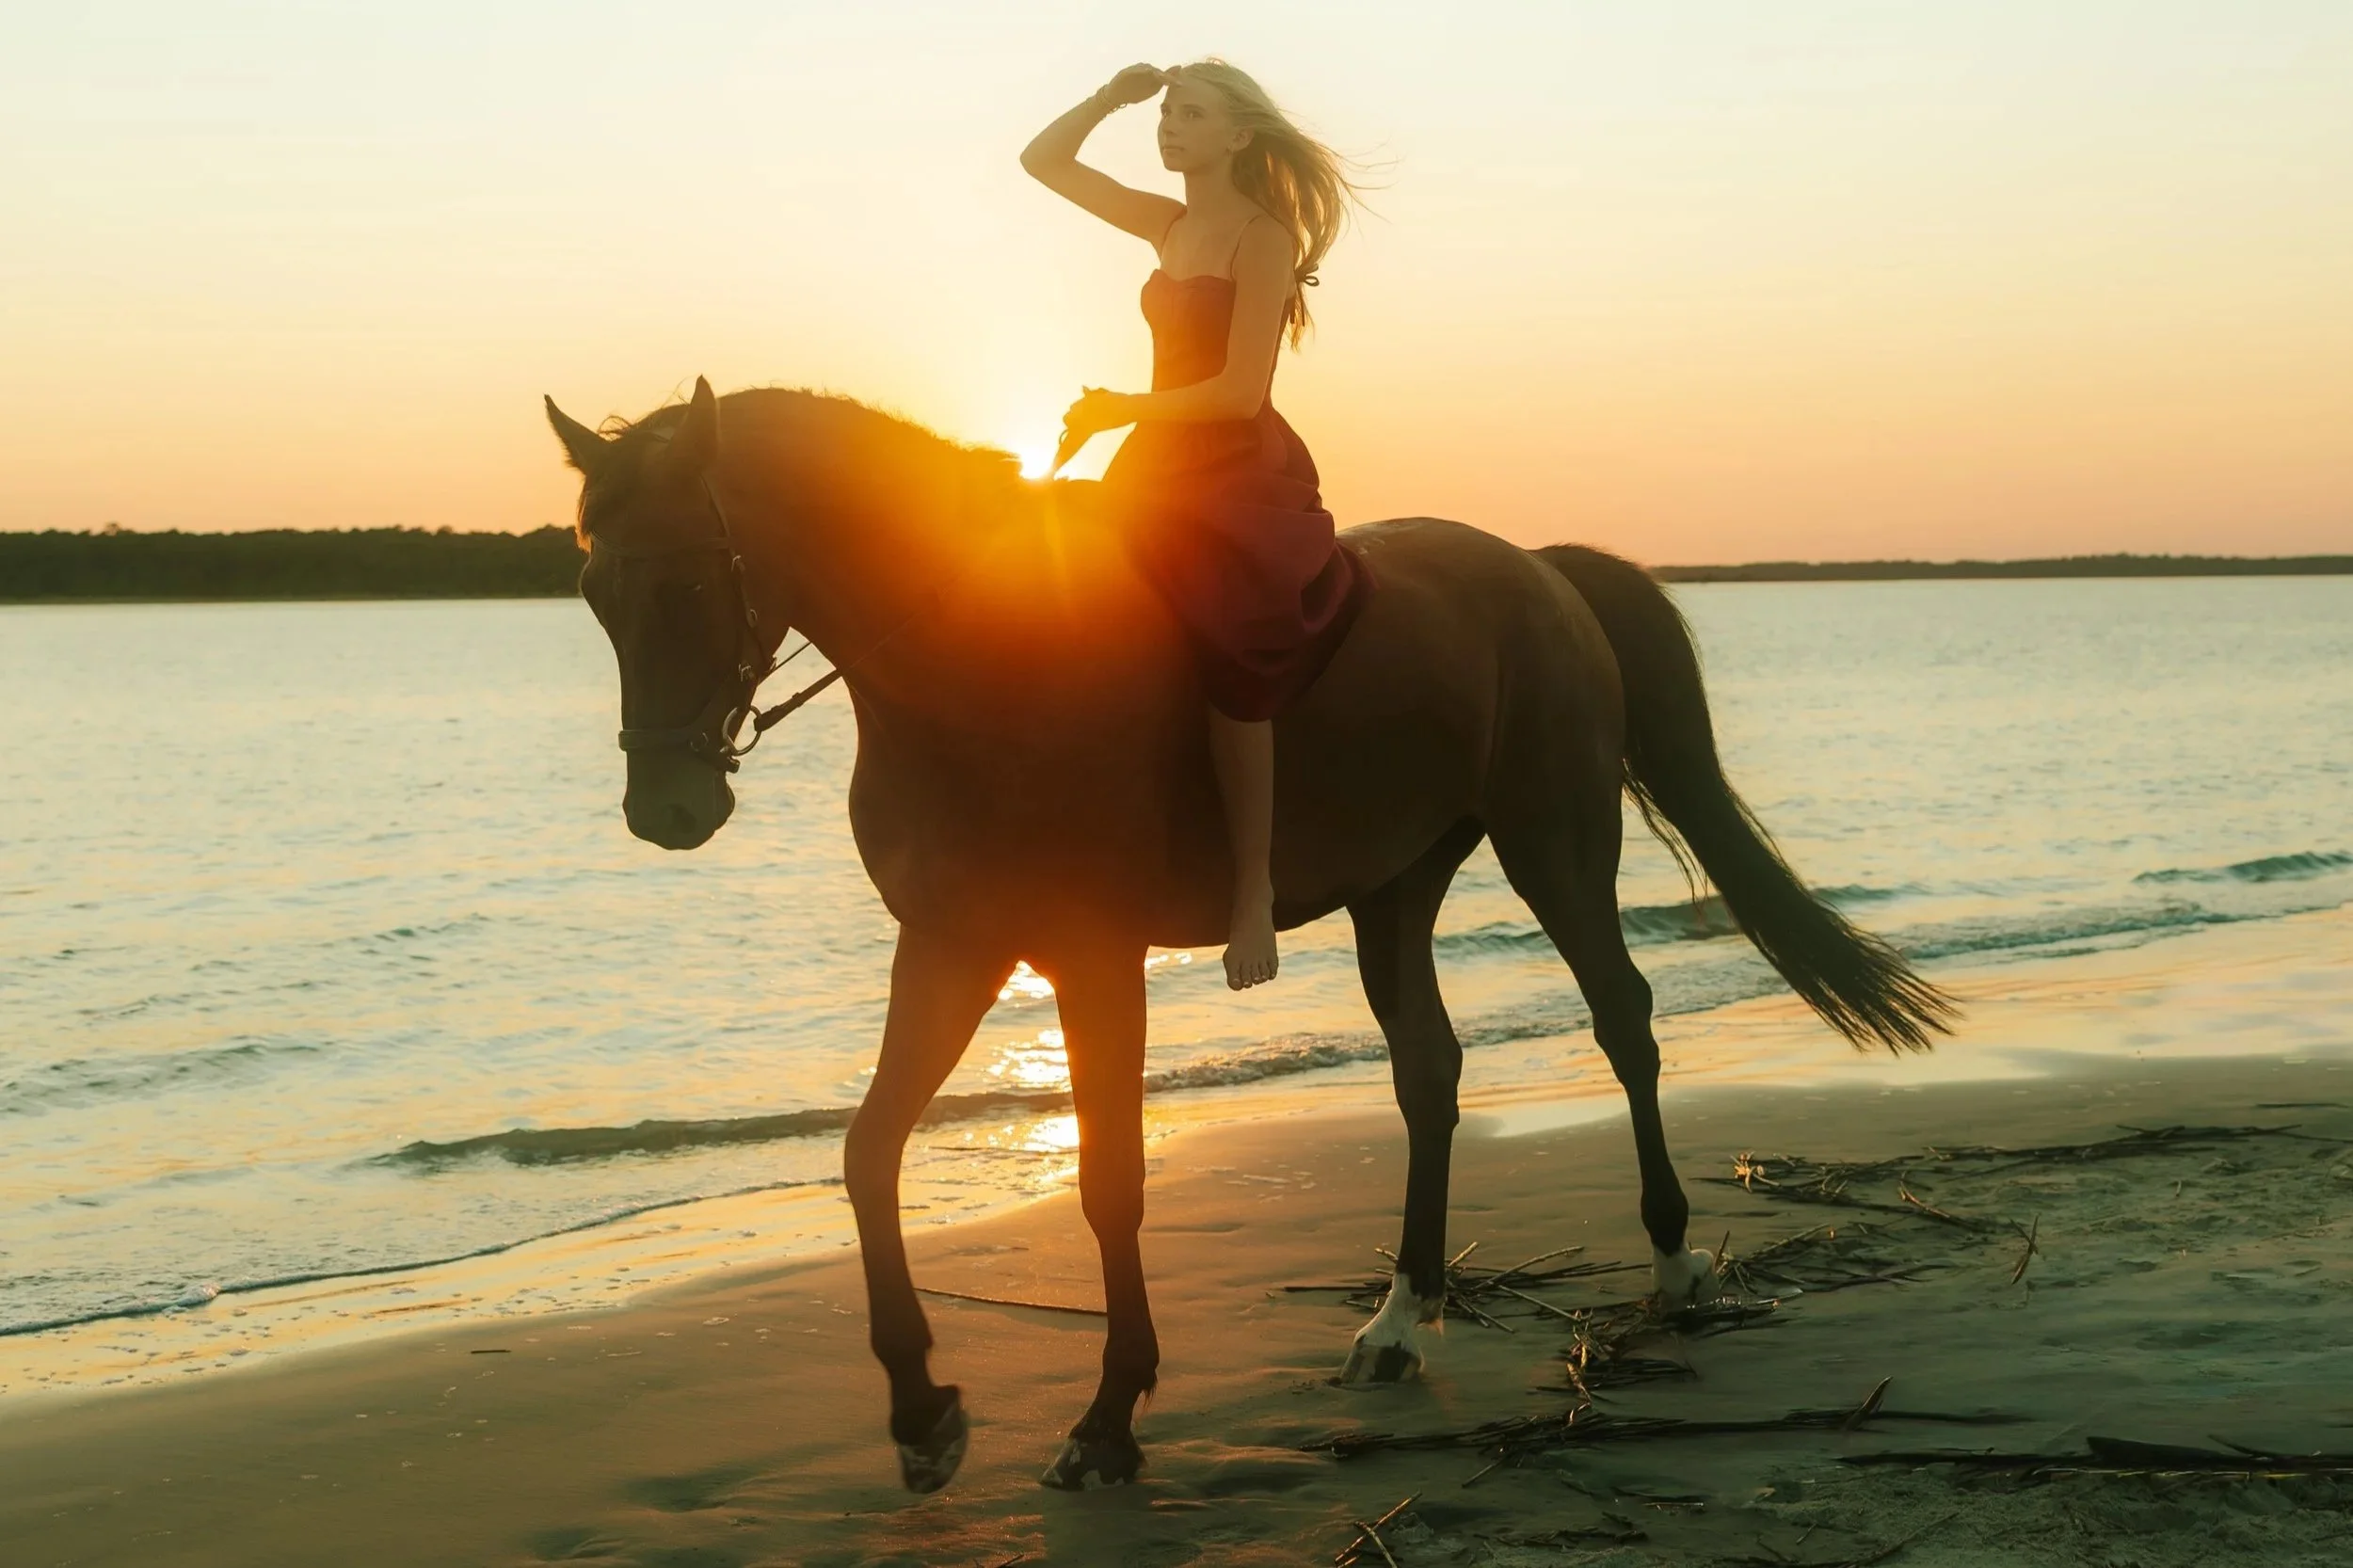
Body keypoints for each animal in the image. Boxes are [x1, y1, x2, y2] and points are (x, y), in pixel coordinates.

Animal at [544, 377, 1953, 1494]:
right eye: (594, 591)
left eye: (688, 579)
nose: (666, 810)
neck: (974, 658)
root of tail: (1538, 569)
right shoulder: (950, 946)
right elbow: (867, 1152)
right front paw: (921, 1413)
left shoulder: (1089, 959)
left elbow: (1109, 1178)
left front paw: (1108, 1418)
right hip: (1396, 886)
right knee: (1430, 1070)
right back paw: (1399, 1316)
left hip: (1555, 843)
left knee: (1624, 1020)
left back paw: (1668, 1263)